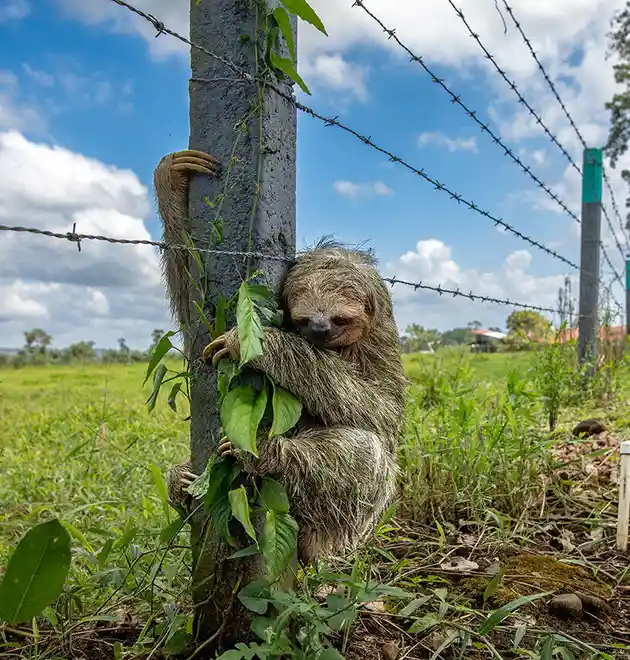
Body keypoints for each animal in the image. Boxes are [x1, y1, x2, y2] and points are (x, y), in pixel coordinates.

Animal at [154, 150, 407, 564]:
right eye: (303, 318)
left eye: (340, 318)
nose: (319, 329)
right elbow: (192, 308)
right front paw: (171, 179)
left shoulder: (382, 335)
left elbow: (383, 410)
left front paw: (259, 343)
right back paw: (182, 482)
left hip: (347, 528)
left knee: (363, 452)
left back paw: (262, 455)